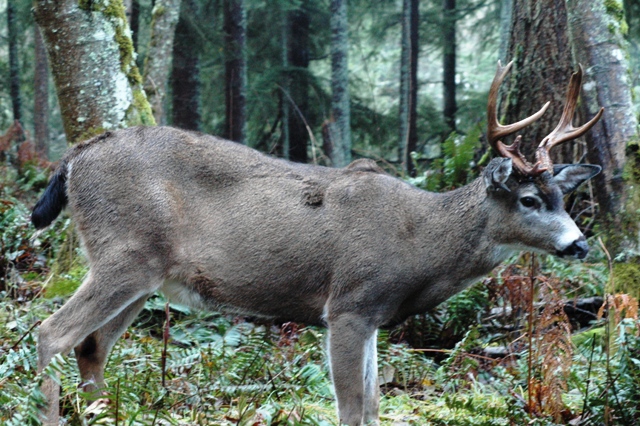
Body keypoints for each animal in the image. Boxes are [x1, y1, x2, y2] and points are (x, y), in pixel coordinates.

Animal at [32, 61, 604, 424]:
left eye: (563, 197)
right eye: (529, 199)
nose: (580, 245)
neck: (420, 242)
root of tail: (75, 158)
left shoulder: (373, 316)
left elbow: (373, 406)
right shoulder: (349, 303)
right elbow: (350, 409)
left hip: (144, 272)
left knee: (90, 347)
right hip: (124, 253)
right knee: (51, 334)